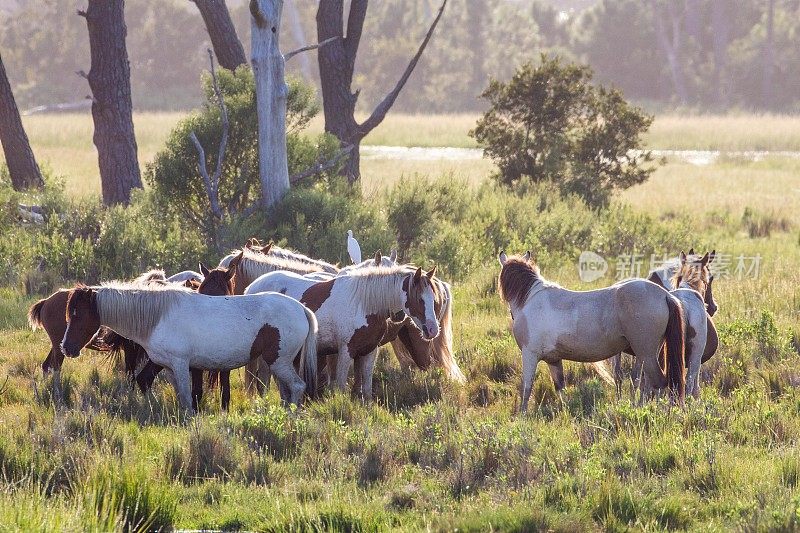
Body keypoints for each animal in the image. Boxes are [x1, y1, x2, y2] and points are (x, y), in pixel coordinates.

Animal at [61, 282, 318, 412]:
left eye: (78, 314)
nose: (66, 348)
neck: (158, 316)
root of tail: (300, 308)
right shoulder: (165, 365)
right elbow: (163, 388)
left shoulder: (181, 364)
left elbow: (186, 395)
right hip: (280, 363)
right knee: (287, 390)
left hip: (279, 362)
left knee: (298, 386)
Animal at [496, 250, 684, 412]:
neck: (530, 300)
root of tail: (665, 295)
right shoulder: (554, 360)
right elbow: (560, 388)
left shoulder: (530, 354)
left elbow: (526, 388)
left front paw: (522, 415)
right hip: (646, 354)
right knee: (646, 383)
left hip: (646, 354)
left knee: (658, 383)